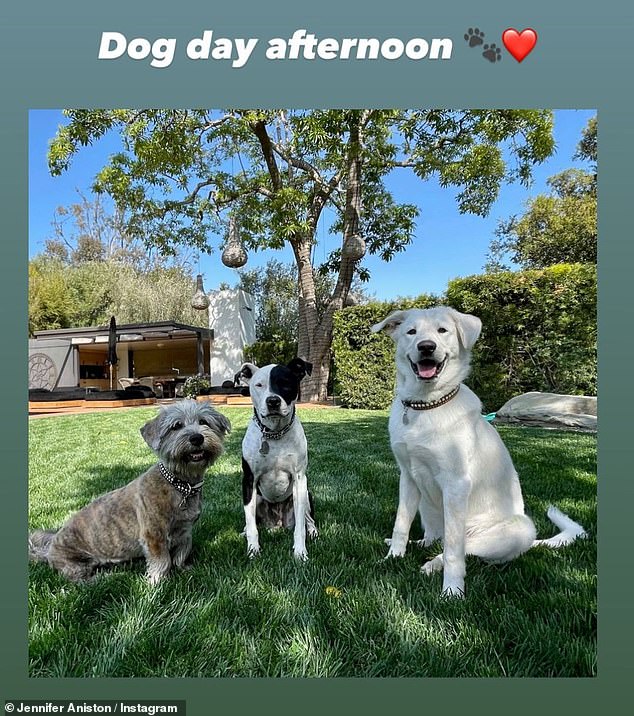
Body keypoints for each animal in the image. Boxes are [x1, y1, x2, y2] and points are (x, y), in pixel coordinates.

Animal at [28, 400, 230, 584]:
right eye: (176, 426)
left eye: (204, 421)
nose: (197, 438)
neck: (180, 485)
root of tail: (49, 548)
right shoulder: (153, 535)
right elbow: (162, 560)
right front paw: (157, 582)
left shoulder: (185, 531)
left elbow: (181, 554)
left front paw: (184, 569)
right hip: (75, 563)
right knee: (78, 579)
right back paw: (103, 579)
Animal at [235, 358, 316, 560]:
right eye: (259, 385)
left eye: (285, 383)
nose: (273, 401)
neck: (274, 434)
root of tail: (277, 524)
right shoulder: (248, 481)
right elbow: (251, 525)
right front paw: (253, 550)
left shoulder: (299, 479)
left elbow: (300, 527)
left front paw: (300, 552)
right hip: (257, 498)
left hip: (307, 494)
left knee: (308, 519)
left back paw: (313, 531)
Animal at [370, 308, 584, 600]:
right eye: (411, 332)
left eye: (442, 331)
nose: (426, 347)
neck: (426, 406)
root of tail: (531, 544)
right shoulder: (408, 477)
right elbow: (401, 523)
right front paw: (393, 557)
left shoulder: (456, 484)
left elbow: (453, 551)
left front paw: (452, 591)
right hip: (426, 504)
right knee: (433, 538)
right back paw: (412, 545)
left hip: (517, 528)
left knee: (459, 548)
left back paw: (433, 565)